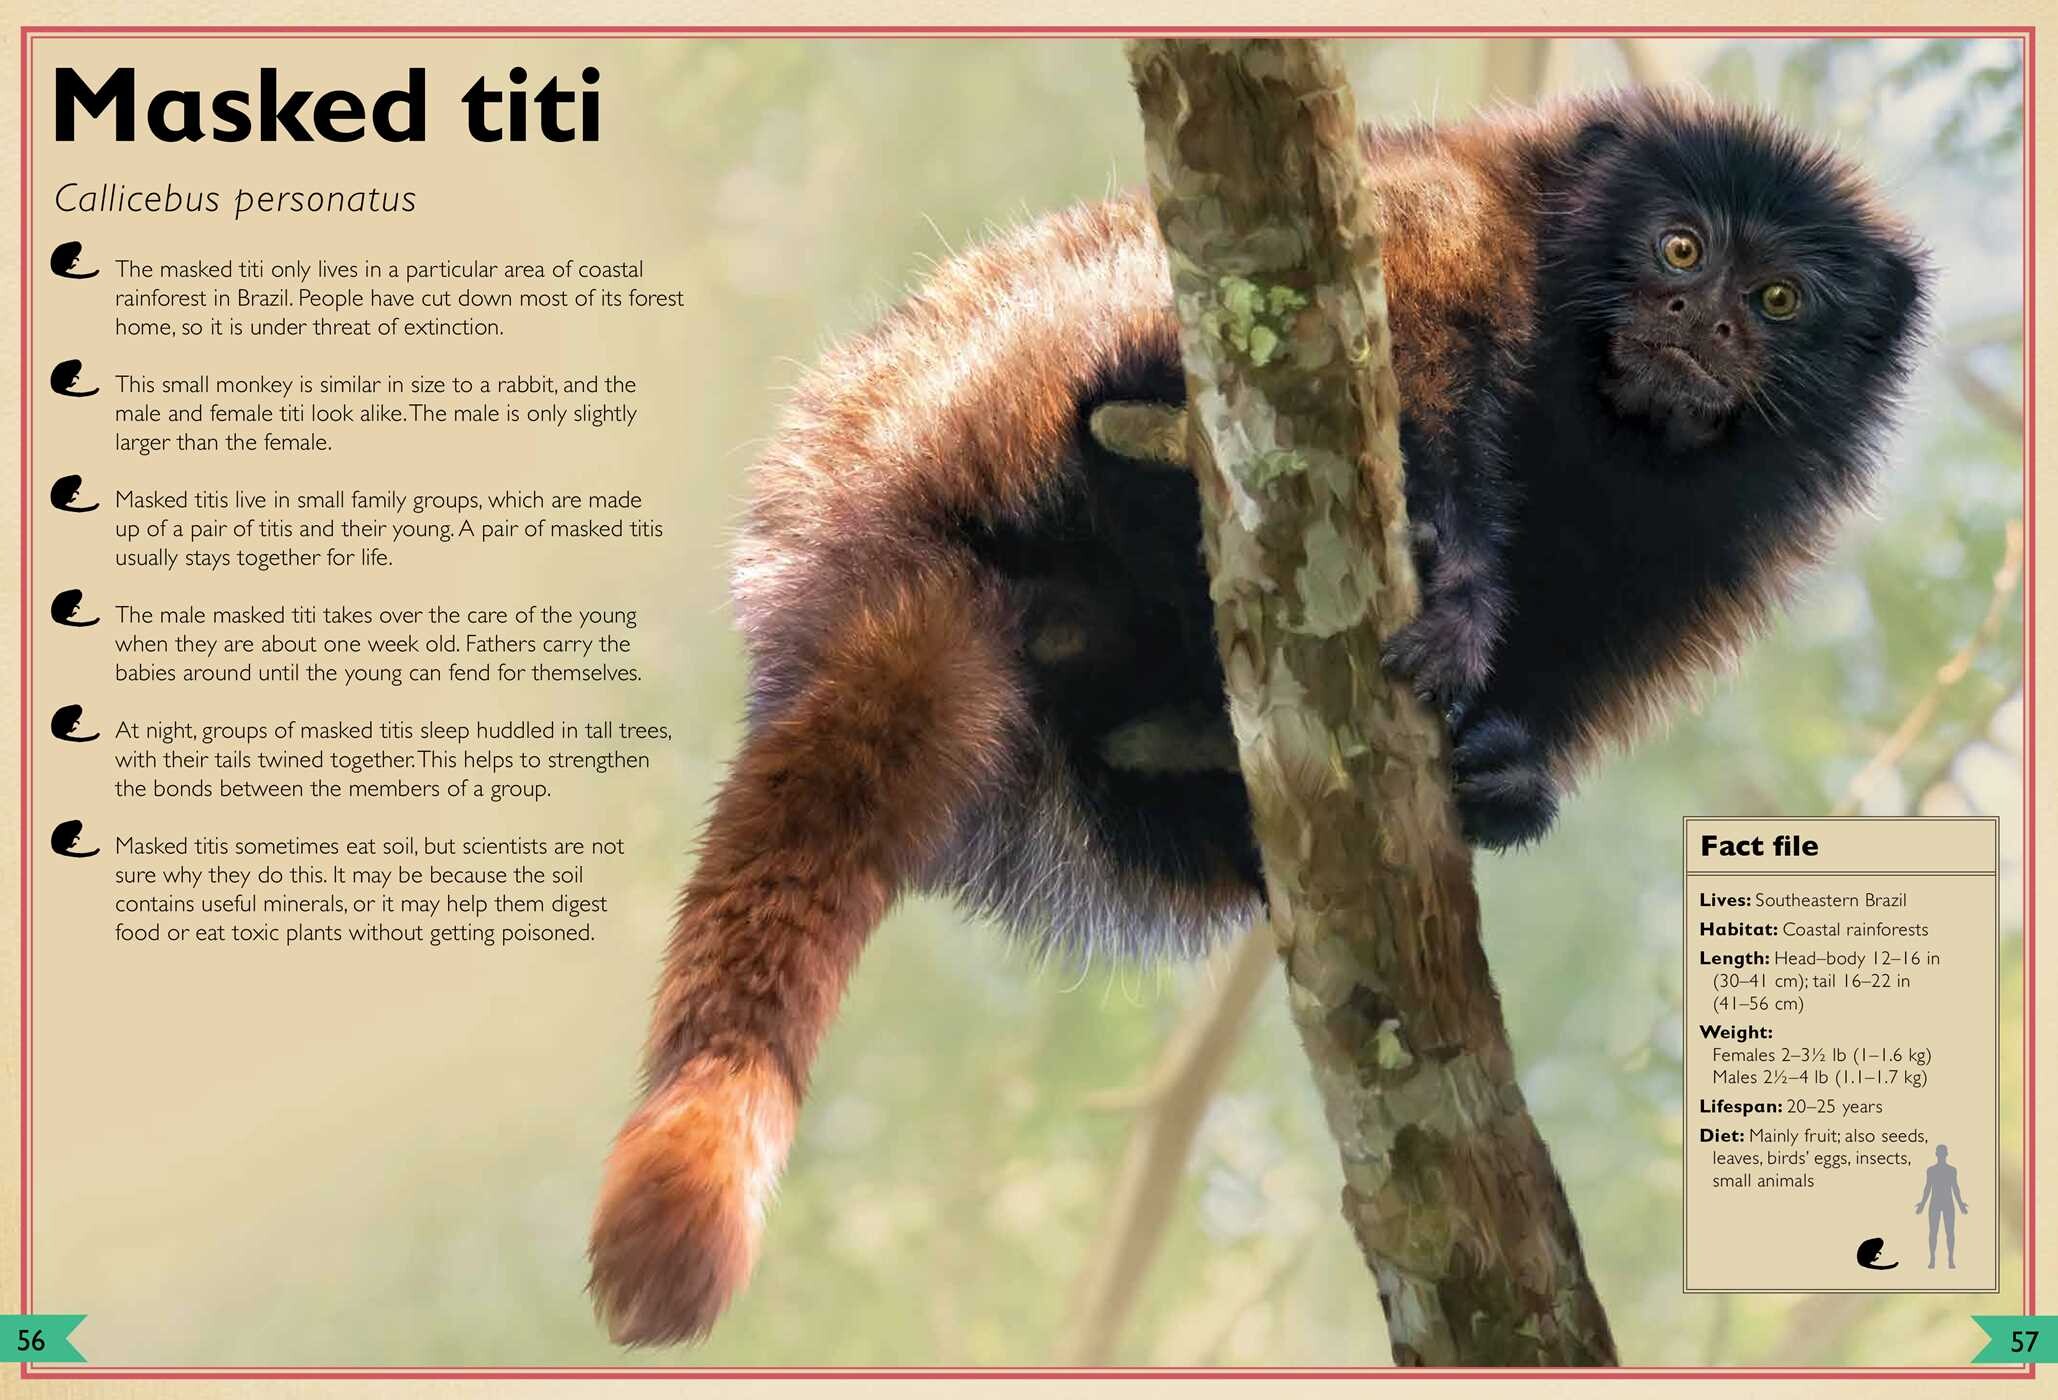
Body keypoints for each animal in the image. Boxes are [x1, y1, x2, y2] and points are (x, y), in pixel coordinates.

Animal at [588, 87, 1926, 1344]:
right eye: (1681, 248)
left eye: (1781, 298)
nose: (1706, 323)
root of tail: (866, 544)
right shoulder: (1451, 214)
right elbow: (1411, 330)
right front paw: (1453, 583)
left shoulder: (1706, 553)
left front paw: (1503, 775)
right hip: (990, 394)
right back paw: (1139, 432)